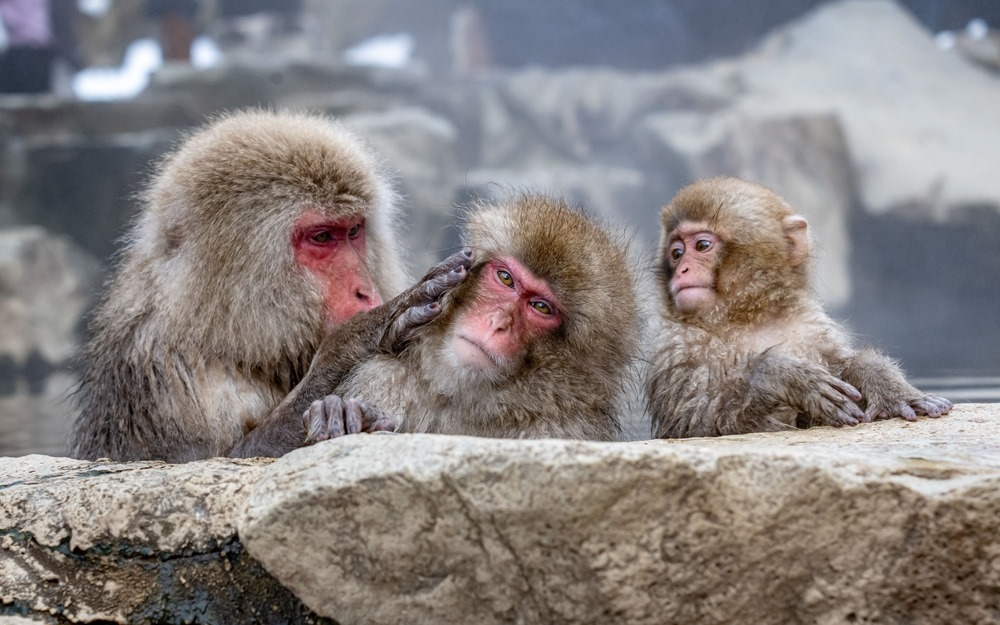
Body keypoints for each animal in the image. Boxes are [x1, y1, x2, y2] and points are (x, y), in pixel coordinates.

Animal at [69, 108, 473, 462]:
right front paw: (357, 341)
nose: (365, 291)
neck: (218, 331)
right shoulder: (166, 378)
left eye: (353, 231)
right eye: (322, 237)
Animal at [266, 193, 642, 442]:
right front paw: (342, 417)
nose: (498, 323)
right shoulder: (383, 377)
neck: (460, 399)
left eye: (541, 307)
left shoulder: (565, 431)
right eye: (506, 278)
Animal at [646, 176, 952, 438]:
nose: (682, 270)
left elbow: (844, 368)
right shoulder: (676, 347)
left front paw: (882, 381)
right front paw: (781, 377)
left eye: (702, 245)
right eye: (676, 253)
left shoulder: (813, 328)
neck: (746, 316)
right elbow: (693, 422)